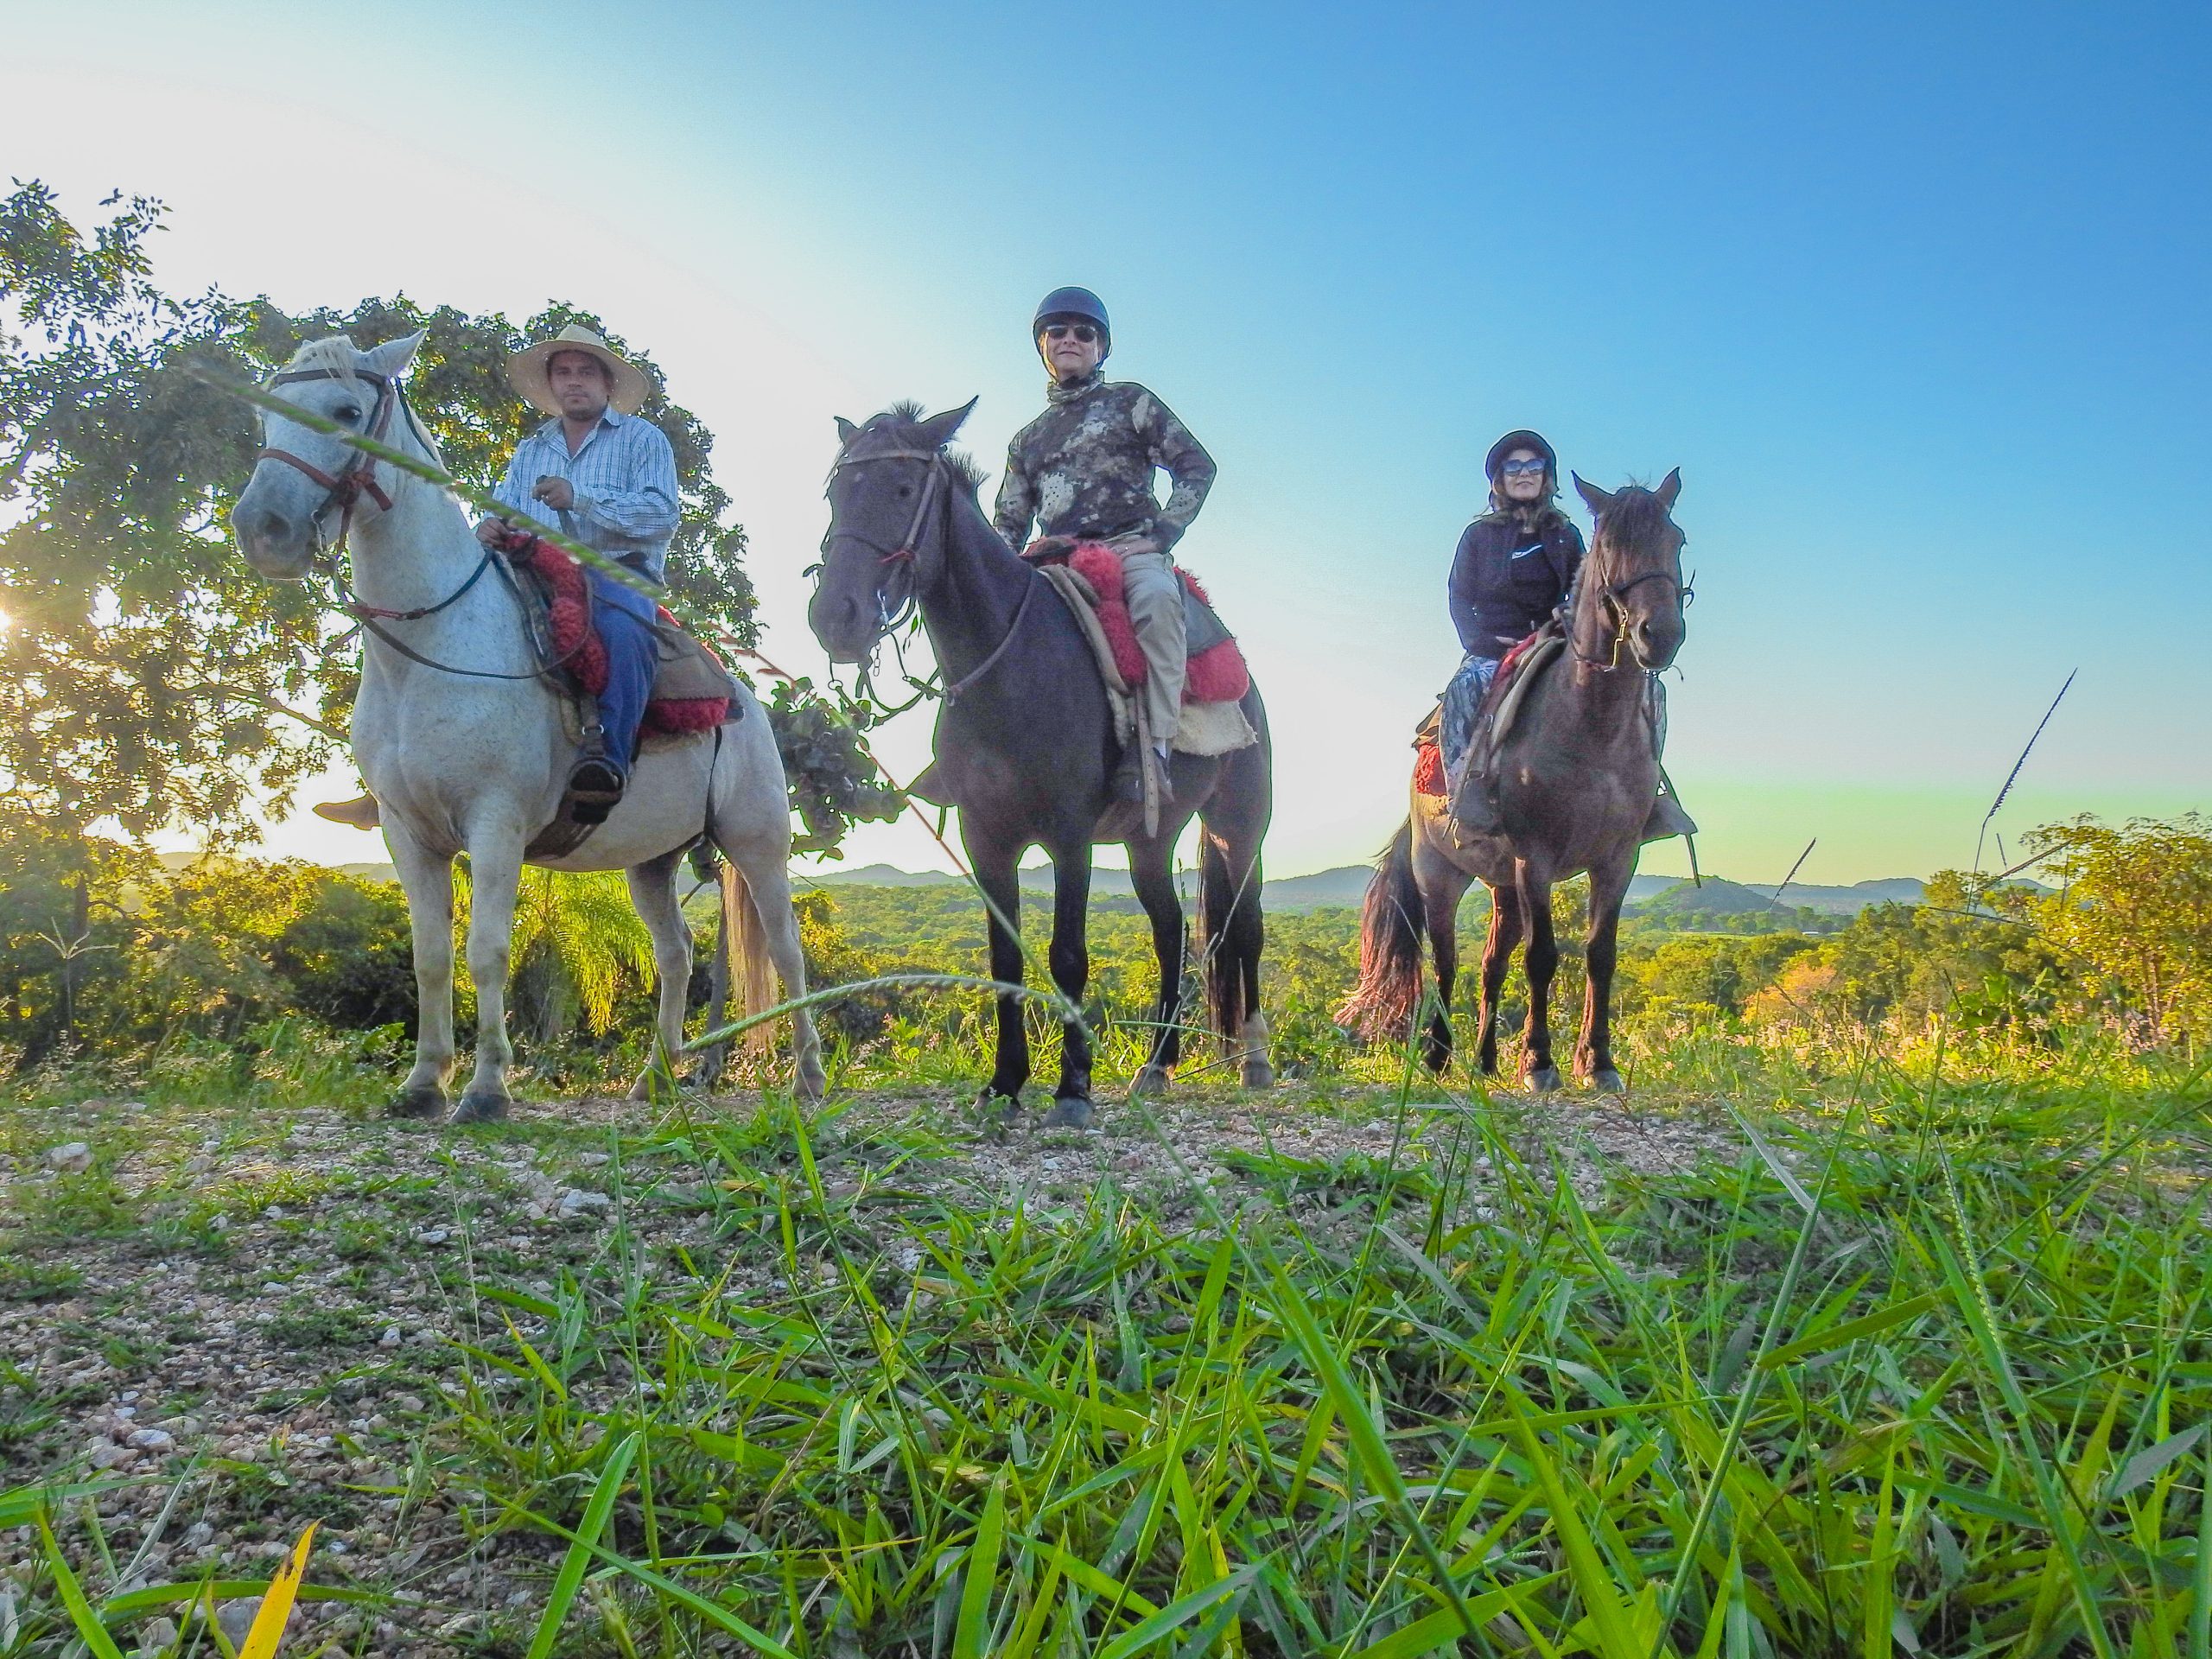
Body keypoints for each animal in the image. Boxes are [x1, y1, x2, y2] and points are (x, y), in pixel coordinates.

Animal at [228, 332, 827, 1123]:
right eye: (264, 416)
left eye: (347, 410)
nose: (262, 530)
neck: (433, 643)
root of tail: (742, 698)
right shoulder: (407, 833)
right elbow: (431, 957)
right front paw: (422, 1085)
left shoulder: (495, 823)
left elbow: (486, 951)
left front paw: (485, 1091)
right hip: (651, 860)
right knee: (675, 953)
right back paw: (656, 1077)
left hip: (757, 841)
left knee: (787, 950)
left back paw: (808, 1078)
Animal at [804, 407, 1274, 1132]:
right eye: (834, 495)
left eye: (904, 490)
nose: (835, 617)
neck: (1011, 665)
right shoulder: (985, 838)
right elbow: (1006, 959)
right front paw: (1004, 1083)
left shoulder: (1069, 834)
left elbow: (1068, 955)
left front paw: (1073, 1088)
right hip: (1150, 839)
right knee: (1171, 932)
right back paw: (1157, 1066)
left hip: (1238, 826)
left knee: (1244, 930)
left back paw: (1254, 1060)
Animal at [1327, 473, 1689, 1092]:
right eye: (1609, 544)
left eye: (1677, 539)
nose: (1658, 634)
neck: (1591, 725)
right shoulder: (1536, 857)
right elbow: (1542, 957)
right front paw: (1540, 1063)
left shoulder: (1617, 858)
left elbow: (1600, 955)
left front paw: (1598, 1062)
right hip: (1441, 874)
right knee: (1447, 963)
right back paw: (1439, 1056)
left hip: (1502, 886)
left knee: (1490, 964)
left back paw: (1485, 1059)